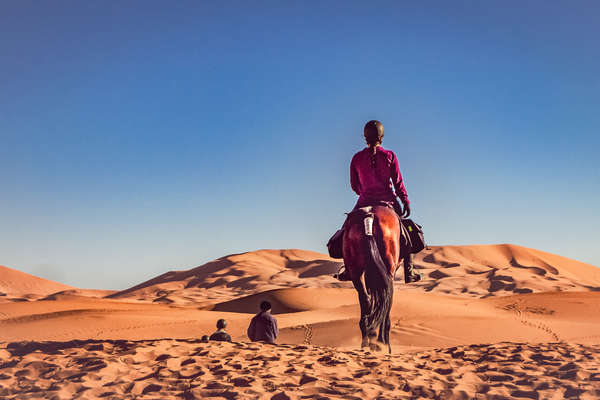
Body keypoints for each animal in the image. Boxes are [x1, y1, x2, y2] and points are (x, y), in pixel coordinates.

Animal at [340, 205, 400, 352]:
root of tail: (368, 215)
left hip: (356, 270)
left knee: (365, 298)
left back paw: (367, 341)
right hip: (388, 270)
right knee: (386, 301)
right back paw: (381, 343)